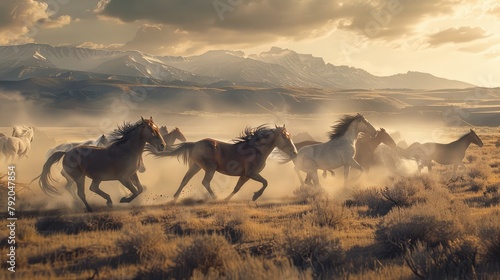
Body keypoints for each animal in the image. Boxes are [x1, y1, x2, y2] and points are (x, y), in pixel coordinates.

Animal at [38, 117, 166, 211]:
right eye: (152, 131)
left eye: (158, 129)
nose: (162, 146)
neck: (126, 150)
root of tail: (66, 152)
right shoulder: (123, 178)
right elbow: (134, 191)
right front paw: (123, 199)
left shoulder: (133, 174)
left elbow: (139, 189)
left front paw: (124, 198)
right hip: (79, 177)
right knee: (81, 192)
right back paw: (89, 208)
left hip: (97, 177)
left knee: (92, 188)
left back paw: (108, 201)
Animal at [148, 124, 296, 201]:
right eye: (285, 136)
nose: (294, 152)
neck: (256, 149)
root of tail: (195, 143)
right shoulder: (251, 174)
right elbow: (265, 182)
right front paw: (255, 196)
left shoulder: (245, 176)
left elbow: (237, 188)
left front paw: (227, 200)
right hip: (210, 168)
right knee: (205, 182)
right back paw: (214, 197)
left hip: (195, 166)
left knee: (185, 180)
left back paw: (175, 198)